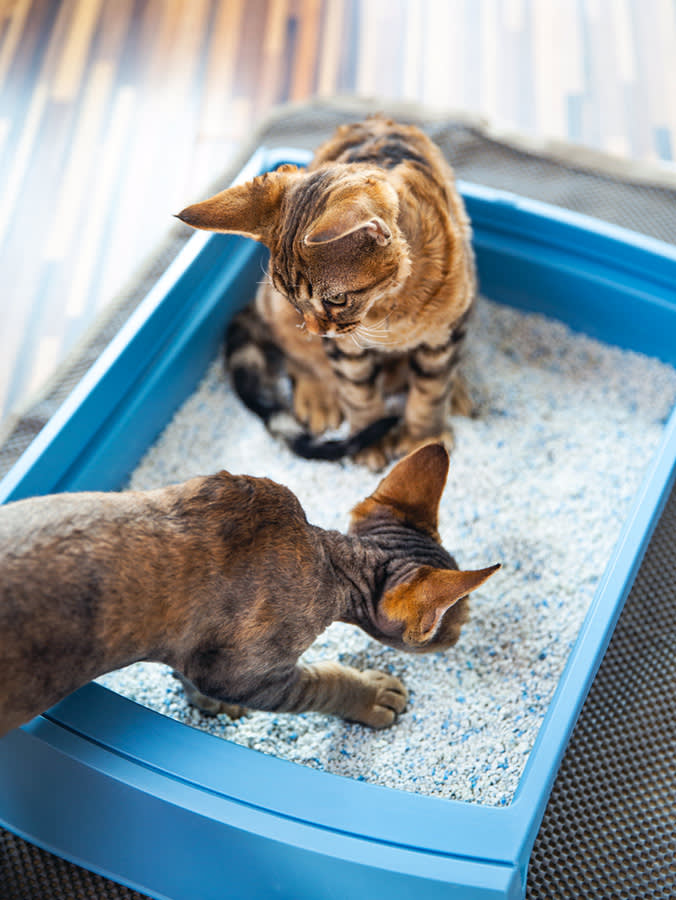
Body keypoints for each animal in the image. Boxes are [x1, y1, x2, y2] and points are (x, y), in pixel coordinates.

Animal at [0, 444, 496, 740]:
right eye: (460, 618)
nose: (465, 631)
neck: (329, 558)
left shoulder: (189, 644)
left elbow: (185, 666)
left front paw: (204, 701)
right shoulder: (250, 675)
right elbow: (325, 682)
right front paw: (370, 696)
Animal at [177, 116, 478, 472]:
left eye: (336, 299)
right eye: (293, 299)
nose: (316, 330)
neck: (389, 307)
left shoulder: (445, 332)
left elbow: (430, 392)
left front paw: (424, 439)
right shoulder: (345, 349)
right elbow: (358, 394)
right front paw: (370, 441)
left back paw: (455, 390)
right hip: (274, 312)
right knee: (297, 356)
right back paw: (318, 396)